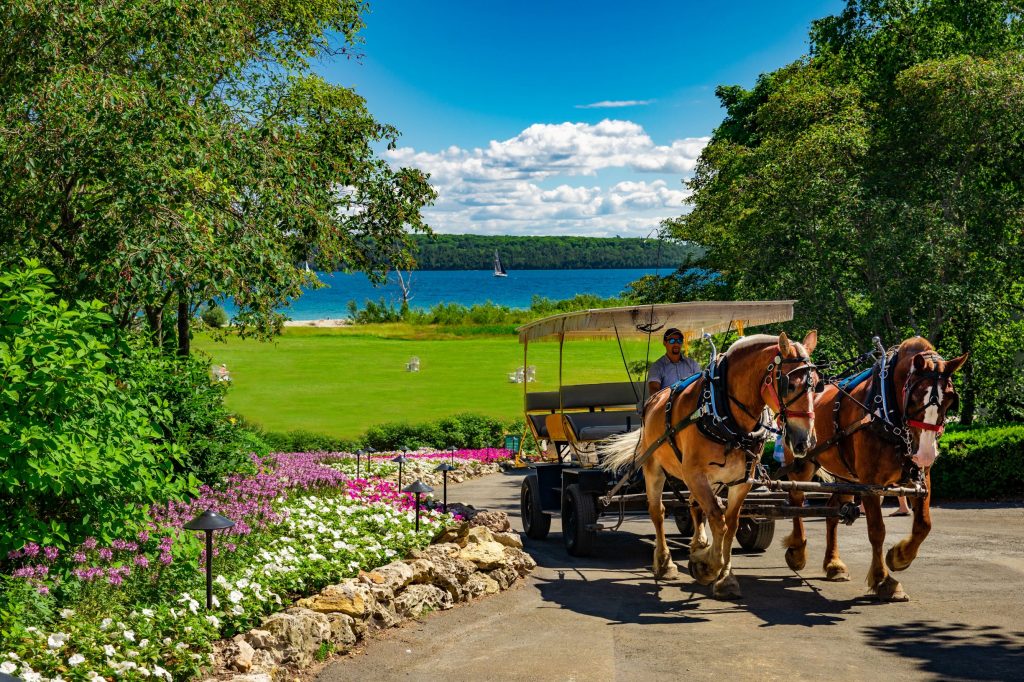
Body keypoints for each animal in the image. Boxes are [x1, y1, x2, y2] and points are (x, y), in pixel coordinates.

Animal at [602, 331, 819, 598]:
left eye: (817, 383)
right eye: (790, 385)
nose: (805, 441)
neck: (722, 412)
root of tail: (653, 400)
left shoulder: (742, 480)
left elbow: (731, 523)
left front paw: (724, 576)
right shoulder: (694, 474)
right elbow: (718, 519)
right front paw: (708, 567)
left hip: (712, 480)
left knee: (695, 506)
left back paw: (698, 543)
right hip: (654, 467)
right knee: (658, 512)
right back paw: (664, 563)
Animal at [782, 337, 966, 598]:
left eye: (950, 398)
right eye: (915, 396)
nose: (926, 454)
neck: (887, 413)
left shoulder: (921, 477)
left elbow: (924, 525)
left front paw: (899, 557)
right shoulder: (870, 482)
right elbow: (877, 530)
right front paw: (883, 579)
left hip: (846, 476)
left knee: (831, 512)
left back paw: (834, 565)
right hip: (801, 462)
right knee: (796, 501)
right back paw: (797, 551)